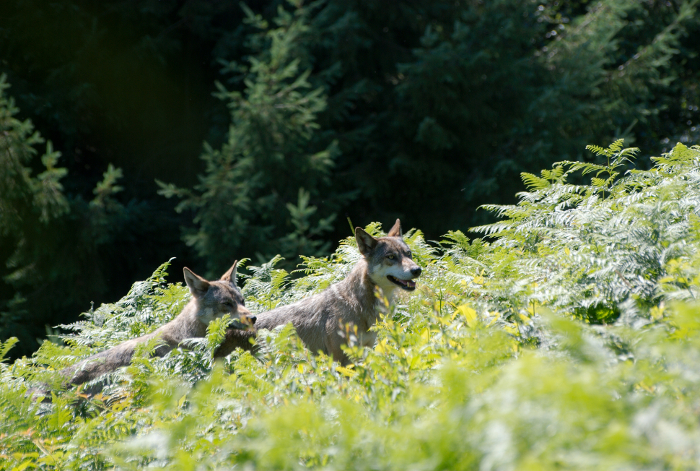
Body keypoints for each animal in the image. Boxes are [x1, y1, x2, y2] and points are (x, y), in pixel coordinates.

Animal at [213, 221, 422, 366]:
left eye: (408, 254)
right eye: (391, 257)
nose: (417, 270)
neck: (359, 303)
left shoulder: (364, 351)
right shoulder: (341, 359)